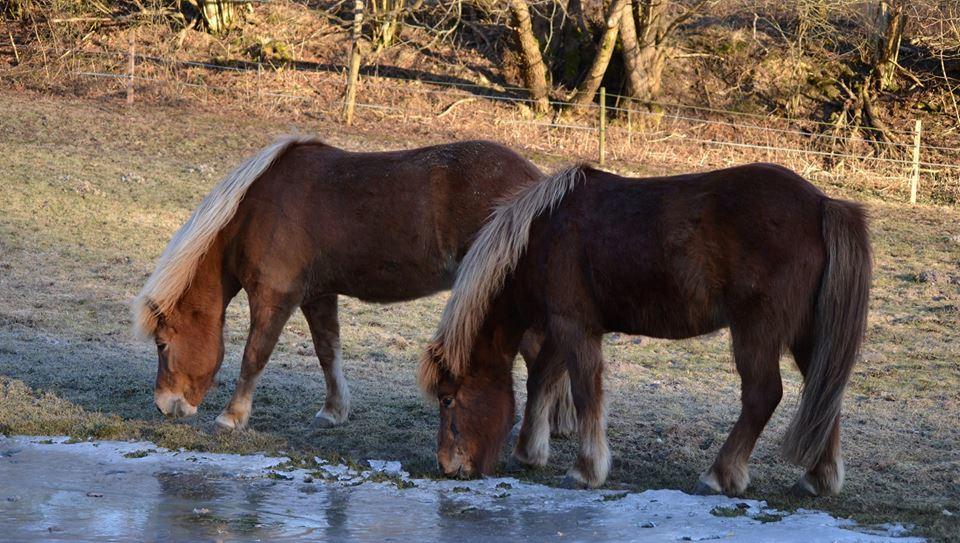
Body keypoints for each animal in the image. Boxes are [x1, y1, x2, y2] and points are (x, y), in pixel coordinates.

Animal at [130, 138, 572, 436]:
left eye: (162, 344)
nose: (165, 406)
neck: (256, 209)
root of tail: (539, 187)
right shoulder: (317, 296)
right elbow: (328, 352)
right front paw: (334, 410)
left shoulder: (275, 297)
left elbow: (254, 356)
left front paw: (231, 416)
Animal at [420, 163, 872, 498]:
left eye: (447, 399)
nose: (446, 466)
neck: (542, 236)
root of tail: (822, 204)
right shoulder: (561, 326)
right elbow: (542, 382)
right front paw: (530, 452)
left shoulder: (574, 326)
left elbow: (583, 392)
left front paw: (586, 469)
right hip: (807, 335)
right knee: (823, 393)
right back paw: (818, 478)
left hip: (755, 333)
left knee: (763, 396)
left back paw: (720, 474)